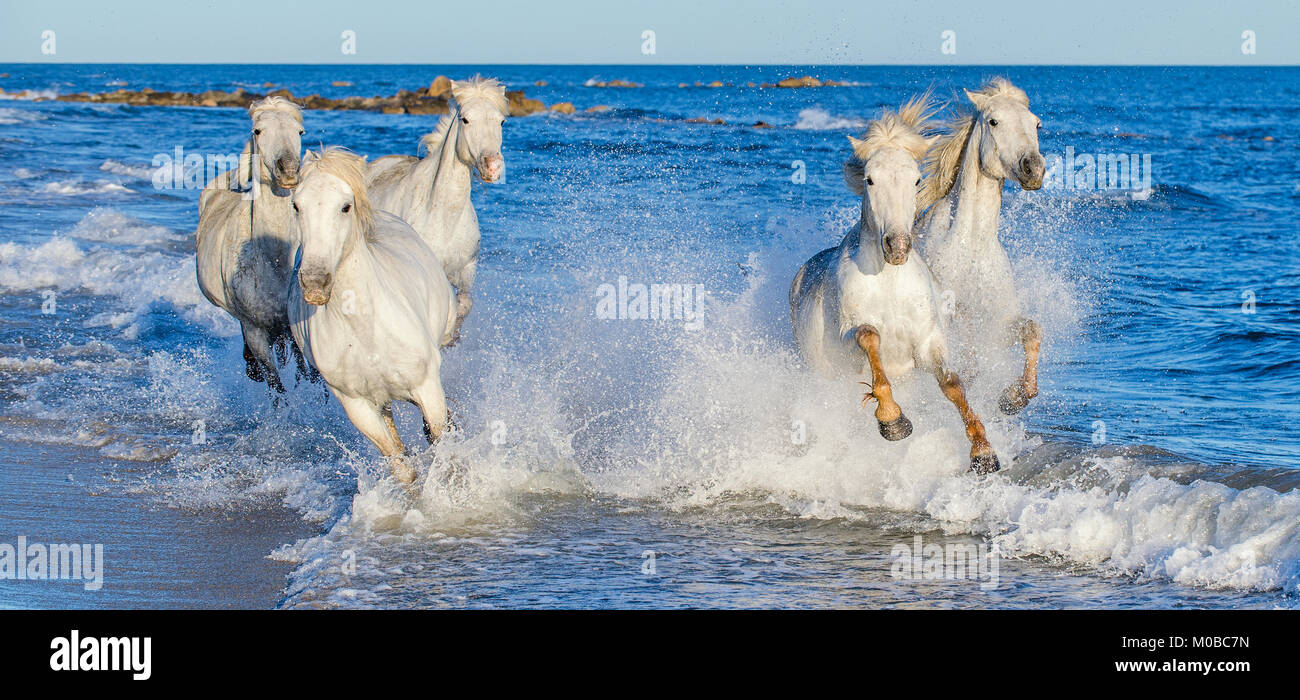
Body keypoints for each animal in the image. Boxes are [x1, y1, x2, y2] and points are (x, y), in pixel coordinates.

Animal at [195, 96, 307, 393]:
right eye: (257, 131)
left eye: (300, 132)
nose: (288, 171)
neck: (276, 260)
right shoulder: (255, 332)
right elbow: (277, 389)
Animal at [288, 148, 458, 485]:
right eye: (296, 205)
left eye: (345, 206)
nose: (315, 283)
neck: (364, 328)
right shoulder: (357, 406)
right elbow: (401, 467)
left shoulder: (427, 386)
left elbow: (441, 446)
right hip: (381, 399)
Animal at [365, 76, 508, 345]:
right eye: (465, 119)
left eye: (501, 121)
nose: (492, 167)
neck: (443, 215)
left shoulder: (467, 267)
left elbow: (465, 303)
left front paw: (453, 339)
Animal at [789, 96, 1000, 474]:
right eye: (870, 180)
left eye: (916, 180)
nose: (898, 246)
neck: (889, 282)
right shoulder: (849, 335)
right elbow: (871, 340)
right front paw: (892, 420)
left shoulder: (929, 341)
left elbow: (952, 384)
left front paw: (982, 450)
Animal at [915, 78, 1045, 415]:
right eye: (993, 121)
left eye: (1036, 123)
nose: (1033, 168)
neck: (971, 247)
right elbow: (966, 343)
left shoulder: (1000, 325)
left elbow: (1032, 331)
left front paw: (1013, 397)